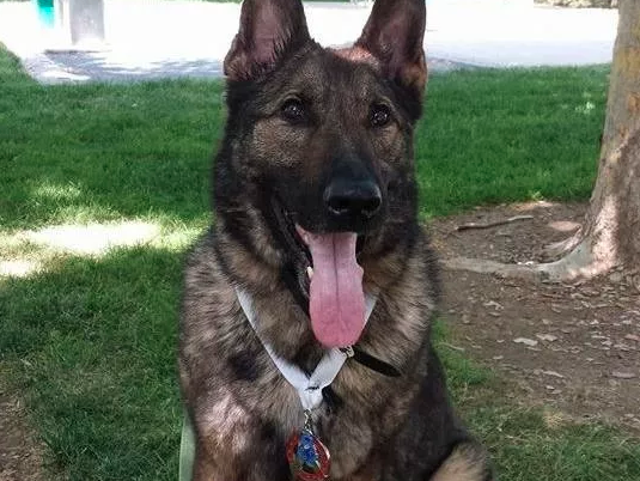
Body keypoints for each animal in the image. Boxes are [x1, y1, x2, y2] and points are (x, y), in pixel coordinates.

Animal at [179, 0, 493, 479]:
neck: (306, 339)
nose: (357, 201)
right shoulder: (216, 458)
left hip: (464, 459)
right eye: (293, 110)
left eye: (380, 116)